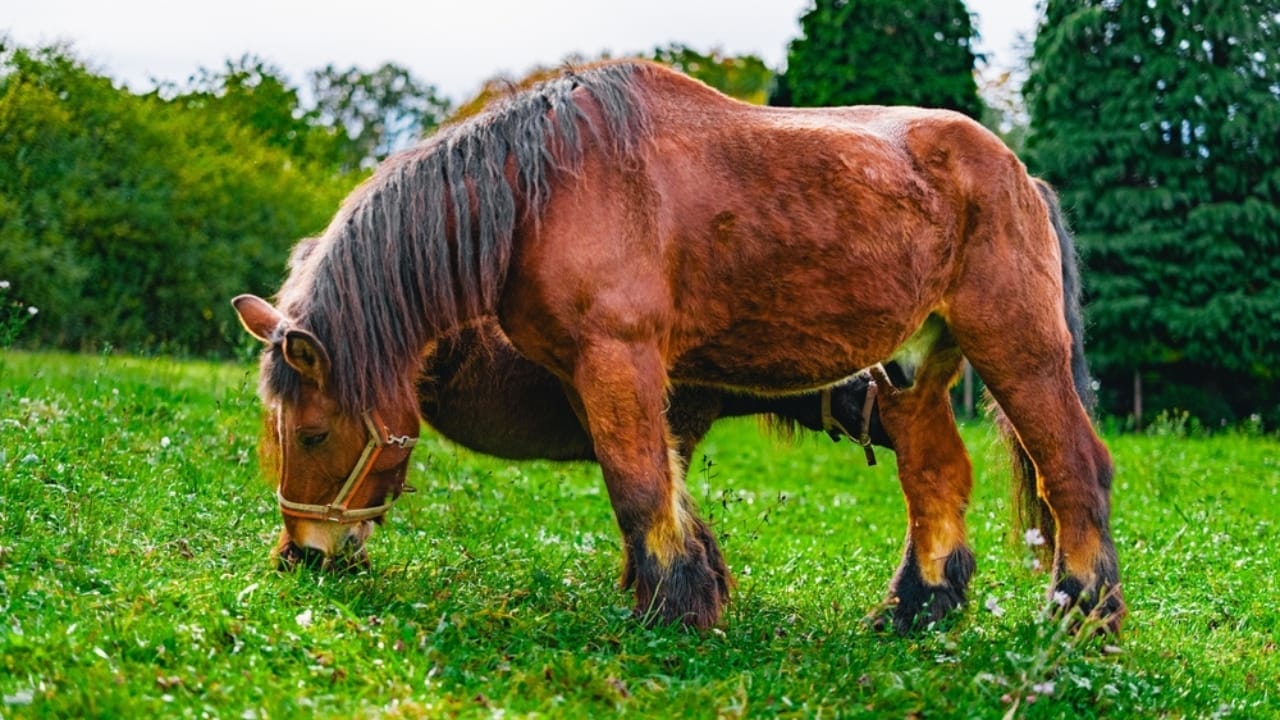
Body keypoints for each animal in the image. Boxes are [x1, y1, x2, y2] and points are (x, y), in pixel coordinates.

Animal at [233, 59, 1123, 634]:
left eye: (313, 432)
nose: (303, 556)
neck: (539, 194)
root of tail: (1019, 173)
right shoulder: (604, 378)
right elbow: (653, 483)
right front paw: (682, 588)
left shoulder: (618, 360)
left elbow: (637, 488)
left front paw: (672, 609)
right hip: (910, 375)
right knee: (936, 478)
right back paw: (916, 612)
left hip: (1017, 346)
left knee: (1074, 466)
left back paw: (1082, 613)